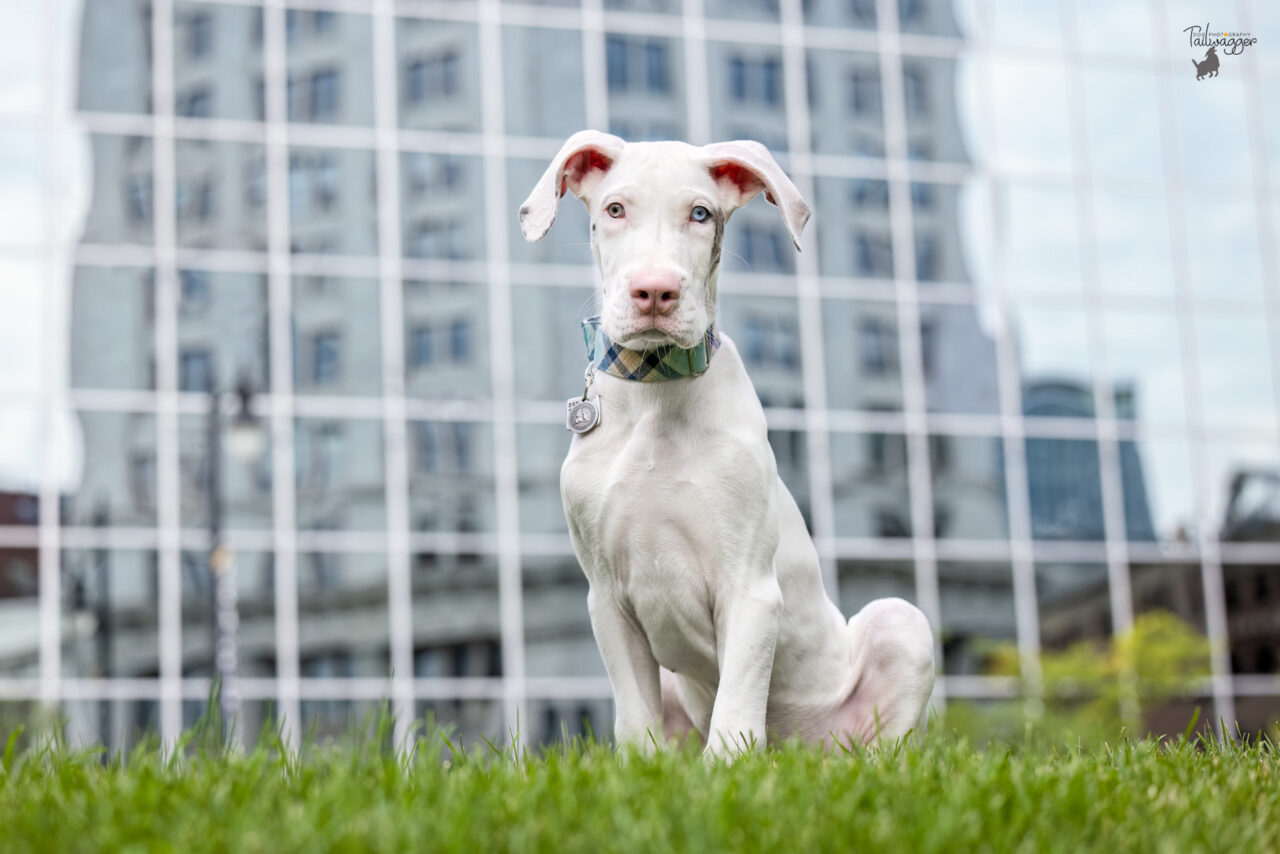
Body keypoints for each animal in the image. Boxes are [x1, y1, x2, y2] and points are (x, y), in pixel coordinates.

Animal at [517, 130, 931, 757]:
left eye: (700, 213)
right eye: (614, 210)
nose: (655, 292)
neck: (656, 393)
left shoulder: (750, 587)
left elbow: (737, 703)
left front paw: (729, 769)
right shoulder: (607, 598)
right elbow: (633, 718)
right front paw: (639, 771)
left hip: (900, 624)